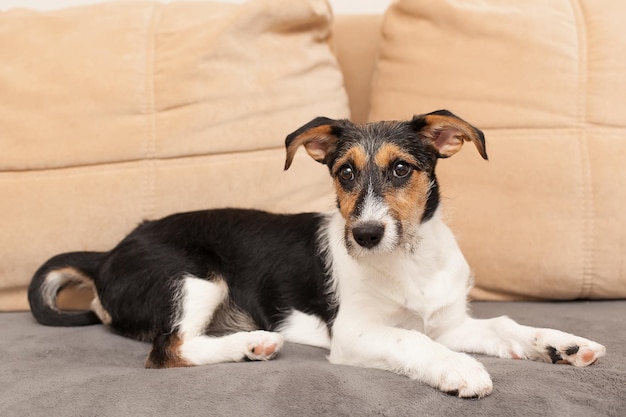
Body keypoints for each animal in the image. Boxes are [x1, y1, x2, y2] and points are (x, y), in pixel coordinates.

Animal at [29, 109, 604, 396]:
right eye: (344, 172)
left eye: (401, 169)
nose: (365, 234)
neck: (410, 260)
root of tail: (107, 253)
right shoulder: (355, 332)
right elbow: (413, 341)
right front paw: (459, 370)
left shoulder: (451, 322)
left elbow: (507, 326)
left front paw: (562, 344)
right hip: (194, 275)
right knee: (168, 350)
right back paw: (252, 343)